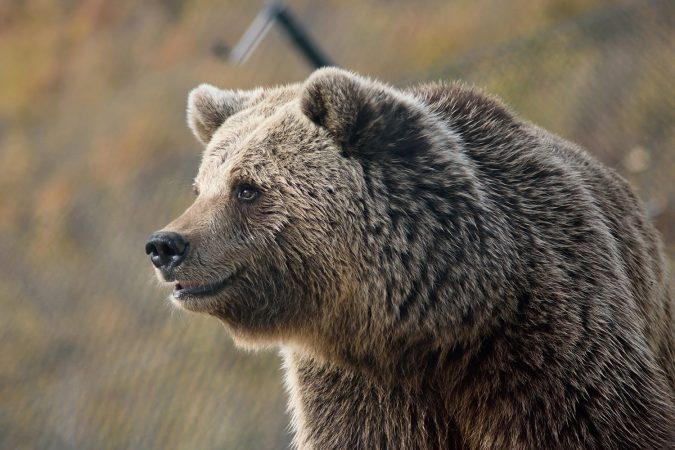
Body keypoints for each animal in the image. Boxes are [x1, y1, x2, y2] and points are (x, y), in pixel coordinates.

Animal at [145, 67, 675, 449]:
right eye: (199, 189)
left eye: (247, 188)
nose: (164, 245)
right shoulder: (358, 384)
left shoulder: (544, 338)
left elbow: (593, 423)